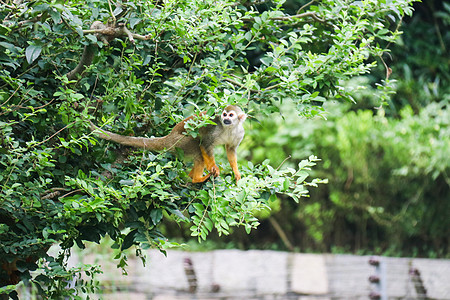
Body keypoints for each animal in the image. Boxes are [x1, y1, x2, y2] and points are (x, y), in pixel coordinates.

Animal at [90, 105, 248, 185]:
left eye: (231, 115)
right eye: (224, 114)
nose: (225, 118)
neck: (229, 128)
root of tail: (169, 137)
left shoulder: (240, 133)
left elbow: (230, 150)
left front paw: (236, 173)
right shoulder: (214, 128)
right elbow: (205, 144)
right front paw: (213, 168)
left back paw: (191, 178)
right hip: (180, 143)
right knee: (197, 147)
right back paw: (197, 179)